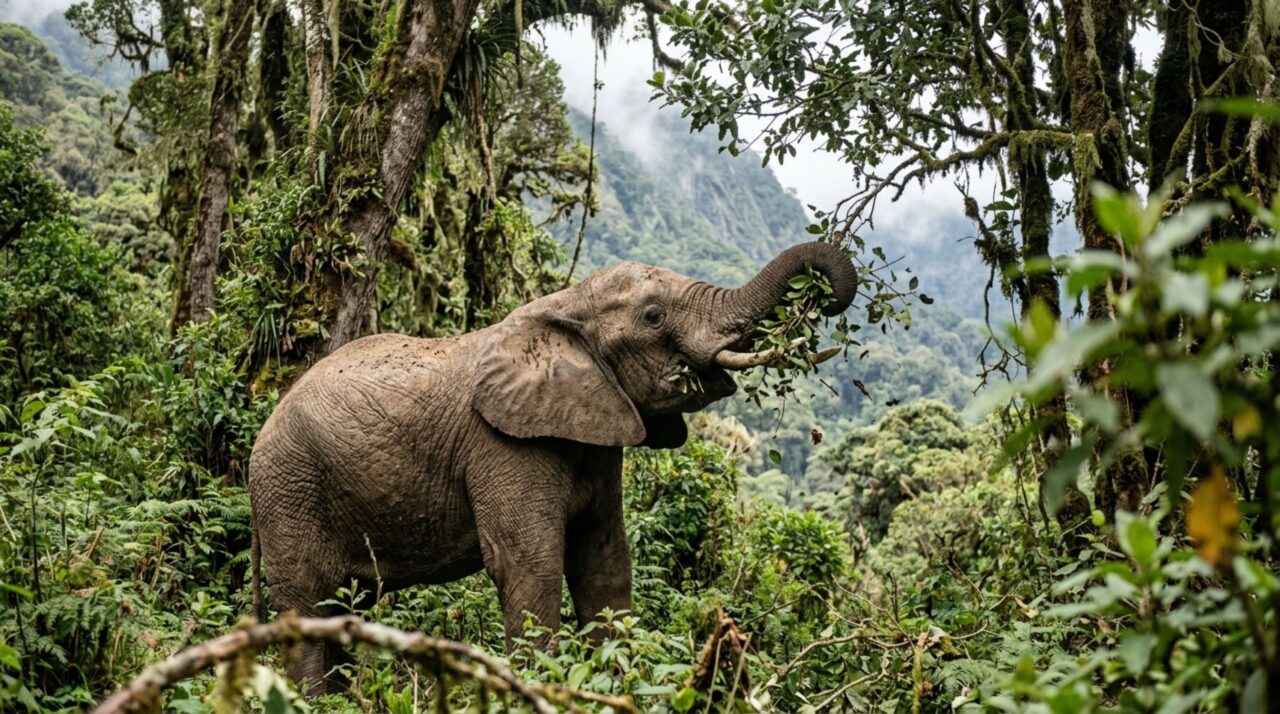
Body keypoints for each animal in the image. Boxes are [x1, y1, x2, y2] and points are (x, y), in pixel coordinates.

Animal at [247, 241, 857, 692]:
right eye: (653, 316)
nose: (823, 302)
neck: (568, 305)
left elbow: (605, 561)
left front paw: (616, 682)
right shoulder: (502, 444)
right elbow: (529, 564)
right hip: (290, 487)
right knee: (306, 605)